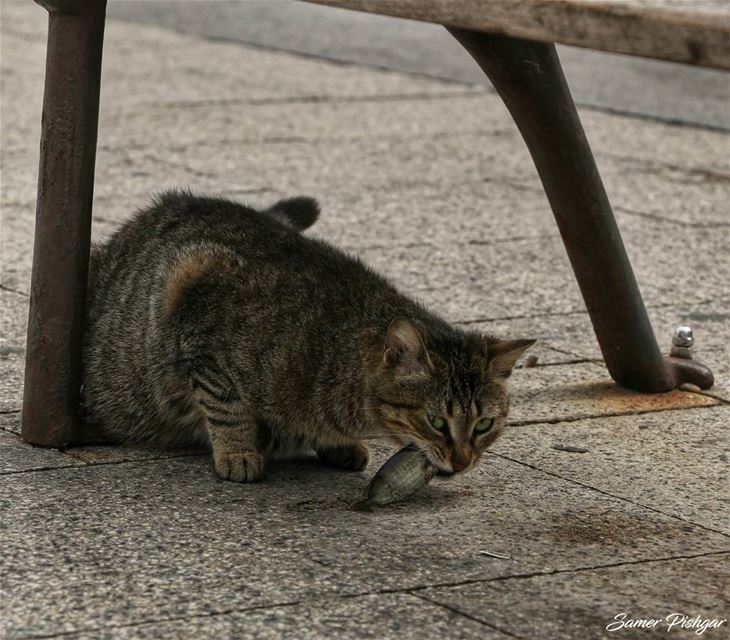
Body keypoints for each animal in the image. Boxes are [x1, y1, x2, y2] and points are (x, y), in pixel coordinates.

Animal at [82, 192, 532, 482]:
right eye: (437, 421)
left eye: (484, 425)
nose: (462, 462)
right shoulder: (198, 318)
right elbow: (226, 406)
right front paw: (238, 452)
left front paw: (337, 445)